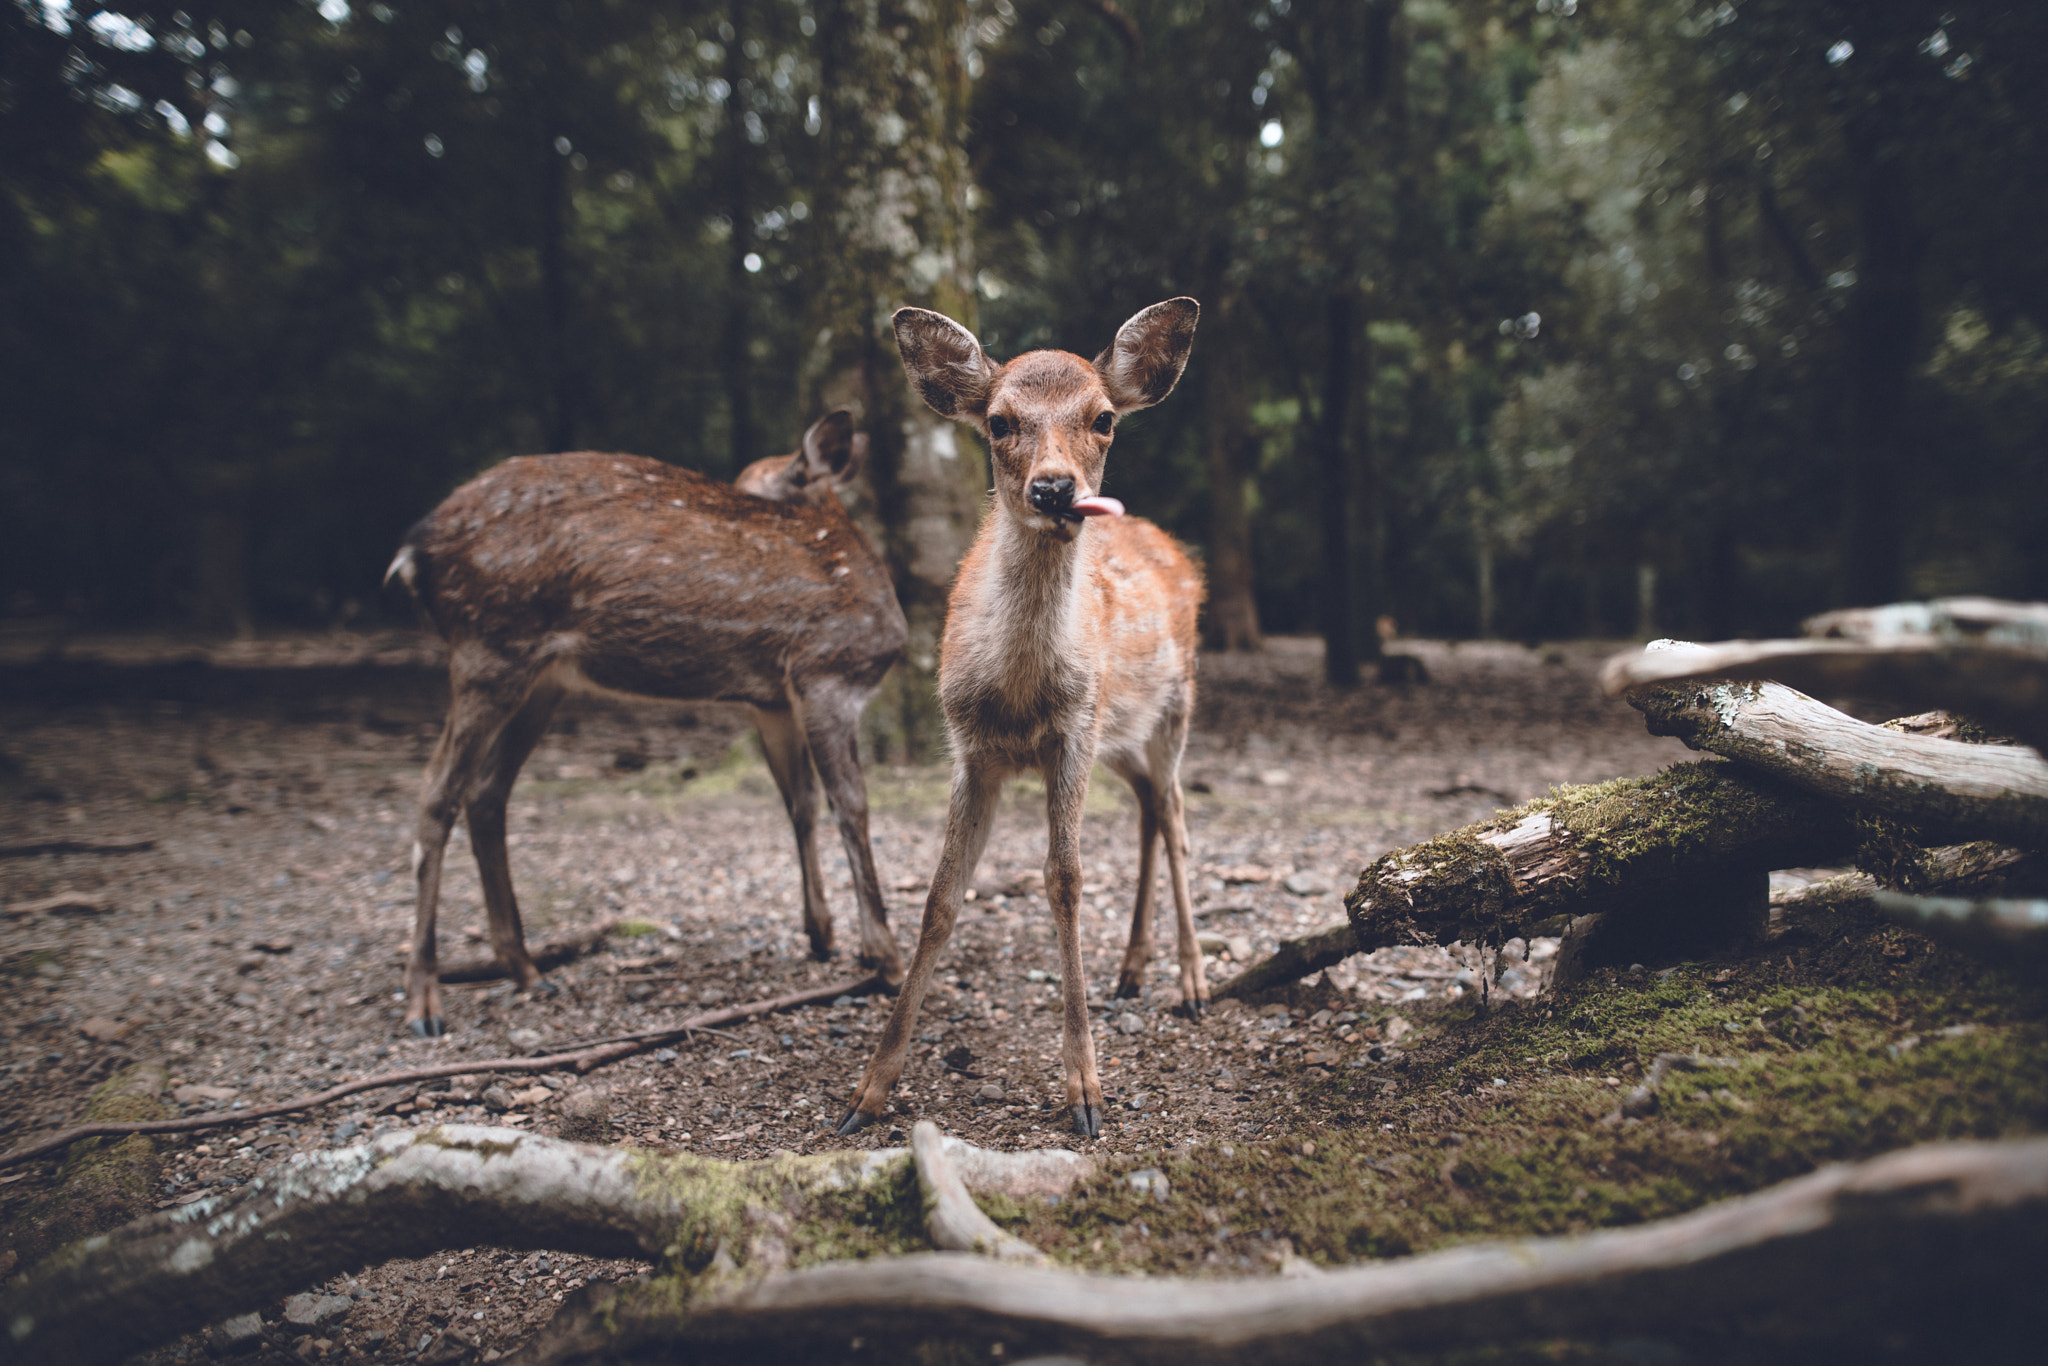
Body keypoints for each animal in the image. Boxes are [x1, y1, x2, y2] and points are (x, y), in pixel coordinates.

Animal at [391, 409, 905, 1036]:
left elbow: (800, 804)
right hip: (489, 645)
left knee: (486, 792)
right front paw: (884, 957)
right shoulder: (827, 673)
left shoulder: (773, 700)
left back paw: (527, 969)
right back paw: (424, 1000)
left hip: (541, 676)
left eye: (752, 481)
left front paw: (822, 934)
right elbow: (851, 805)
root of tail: (414, 552)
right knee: (436, 792)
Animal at [839, 301, 1204, 1146]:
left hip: (1173, 706)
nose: (1054, 488)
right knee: (1149, 806)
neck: (1018, 691)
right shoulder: (970, 745)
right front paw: (870, 1089)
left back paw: (1193, 980)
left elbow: (1064, 880)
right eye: (1000, 421)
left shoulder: (1071, 731)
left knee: (1174, 810)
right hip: (1120, 734)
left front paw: (1085, 1092)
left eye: (1103, 418)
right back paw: (1132, 971)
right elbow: (941, 896)